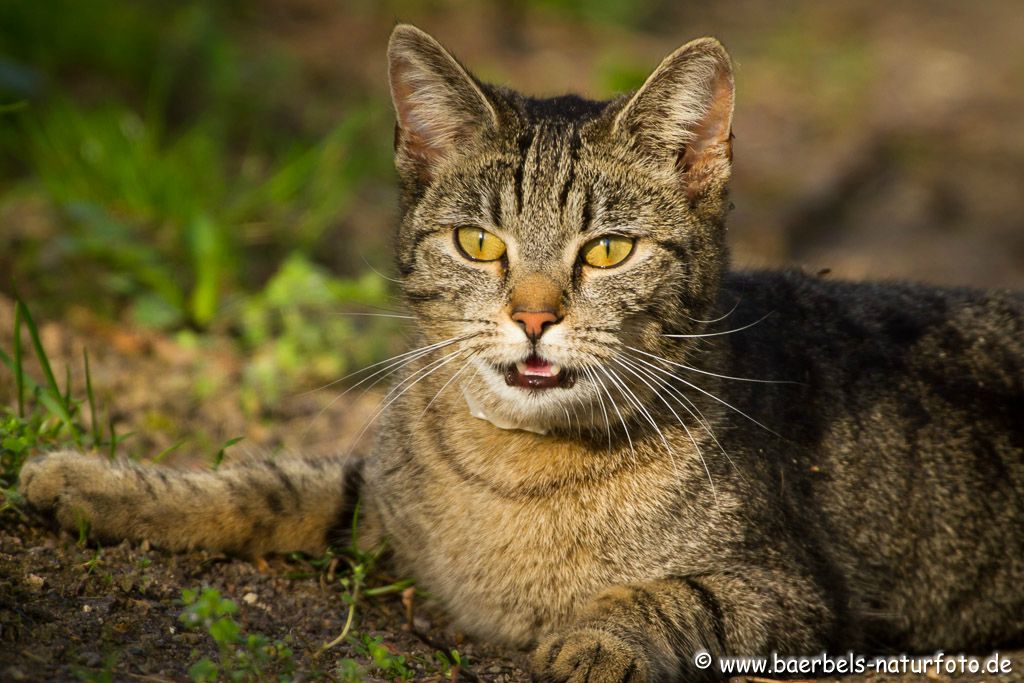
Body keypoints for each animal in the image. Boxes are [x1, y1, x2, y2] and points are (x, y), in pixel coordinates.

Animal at [16, 22, 1024, 683]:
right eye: (479, 244)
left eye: (608, 250)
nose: (534, 316)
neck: (520, 470)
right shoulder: (377, 503)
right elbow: (270, 484)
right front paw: (93, 481)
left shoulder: (798, 597)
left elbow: (679, 598)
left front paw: (596, 637)